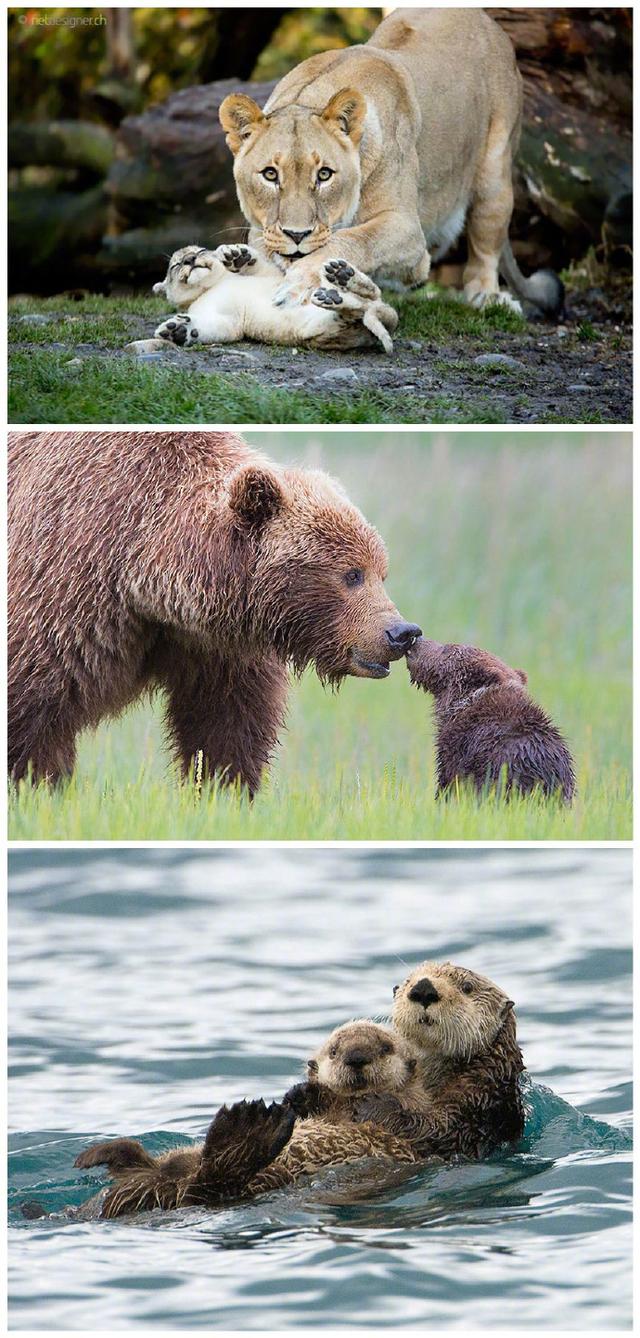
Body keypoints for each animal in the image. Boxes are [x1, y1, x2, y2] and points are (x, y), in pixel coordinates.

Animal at [10, 430, 423, 792]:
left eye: (381, 572)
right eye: (352, 574)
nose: (401, 632)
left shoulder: (217, 646)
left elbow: (227, 723)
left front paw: (223, 790)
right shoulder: (67, 592)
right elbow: (32, 712)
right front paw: (37, 785)